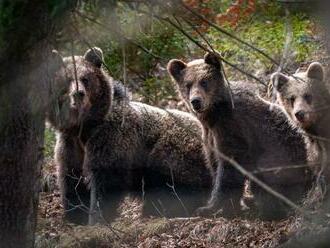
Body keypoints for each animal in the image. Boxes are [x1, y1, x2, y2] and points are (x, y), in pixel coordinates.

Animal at [46, 47, 211, 225]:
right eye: (67, 79)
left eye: (85, 78)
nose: (78, 94)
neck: (84, 128)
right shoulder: (70, 144)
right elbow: (71, 180)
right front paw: (74, 216)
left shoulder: (111, 138)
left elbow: (107, 180)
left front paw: (97, 218)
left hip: (175, 152)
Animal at [169, 52, 314, 219]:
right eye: (188, 84)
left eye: (204, 81)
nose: (196, 101)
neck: (214, 115)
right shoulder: (210, 136)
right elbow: (214, 164)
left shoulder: (233, 128)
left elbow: (229, 167)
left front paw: (211, 207)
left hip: (283, 157)